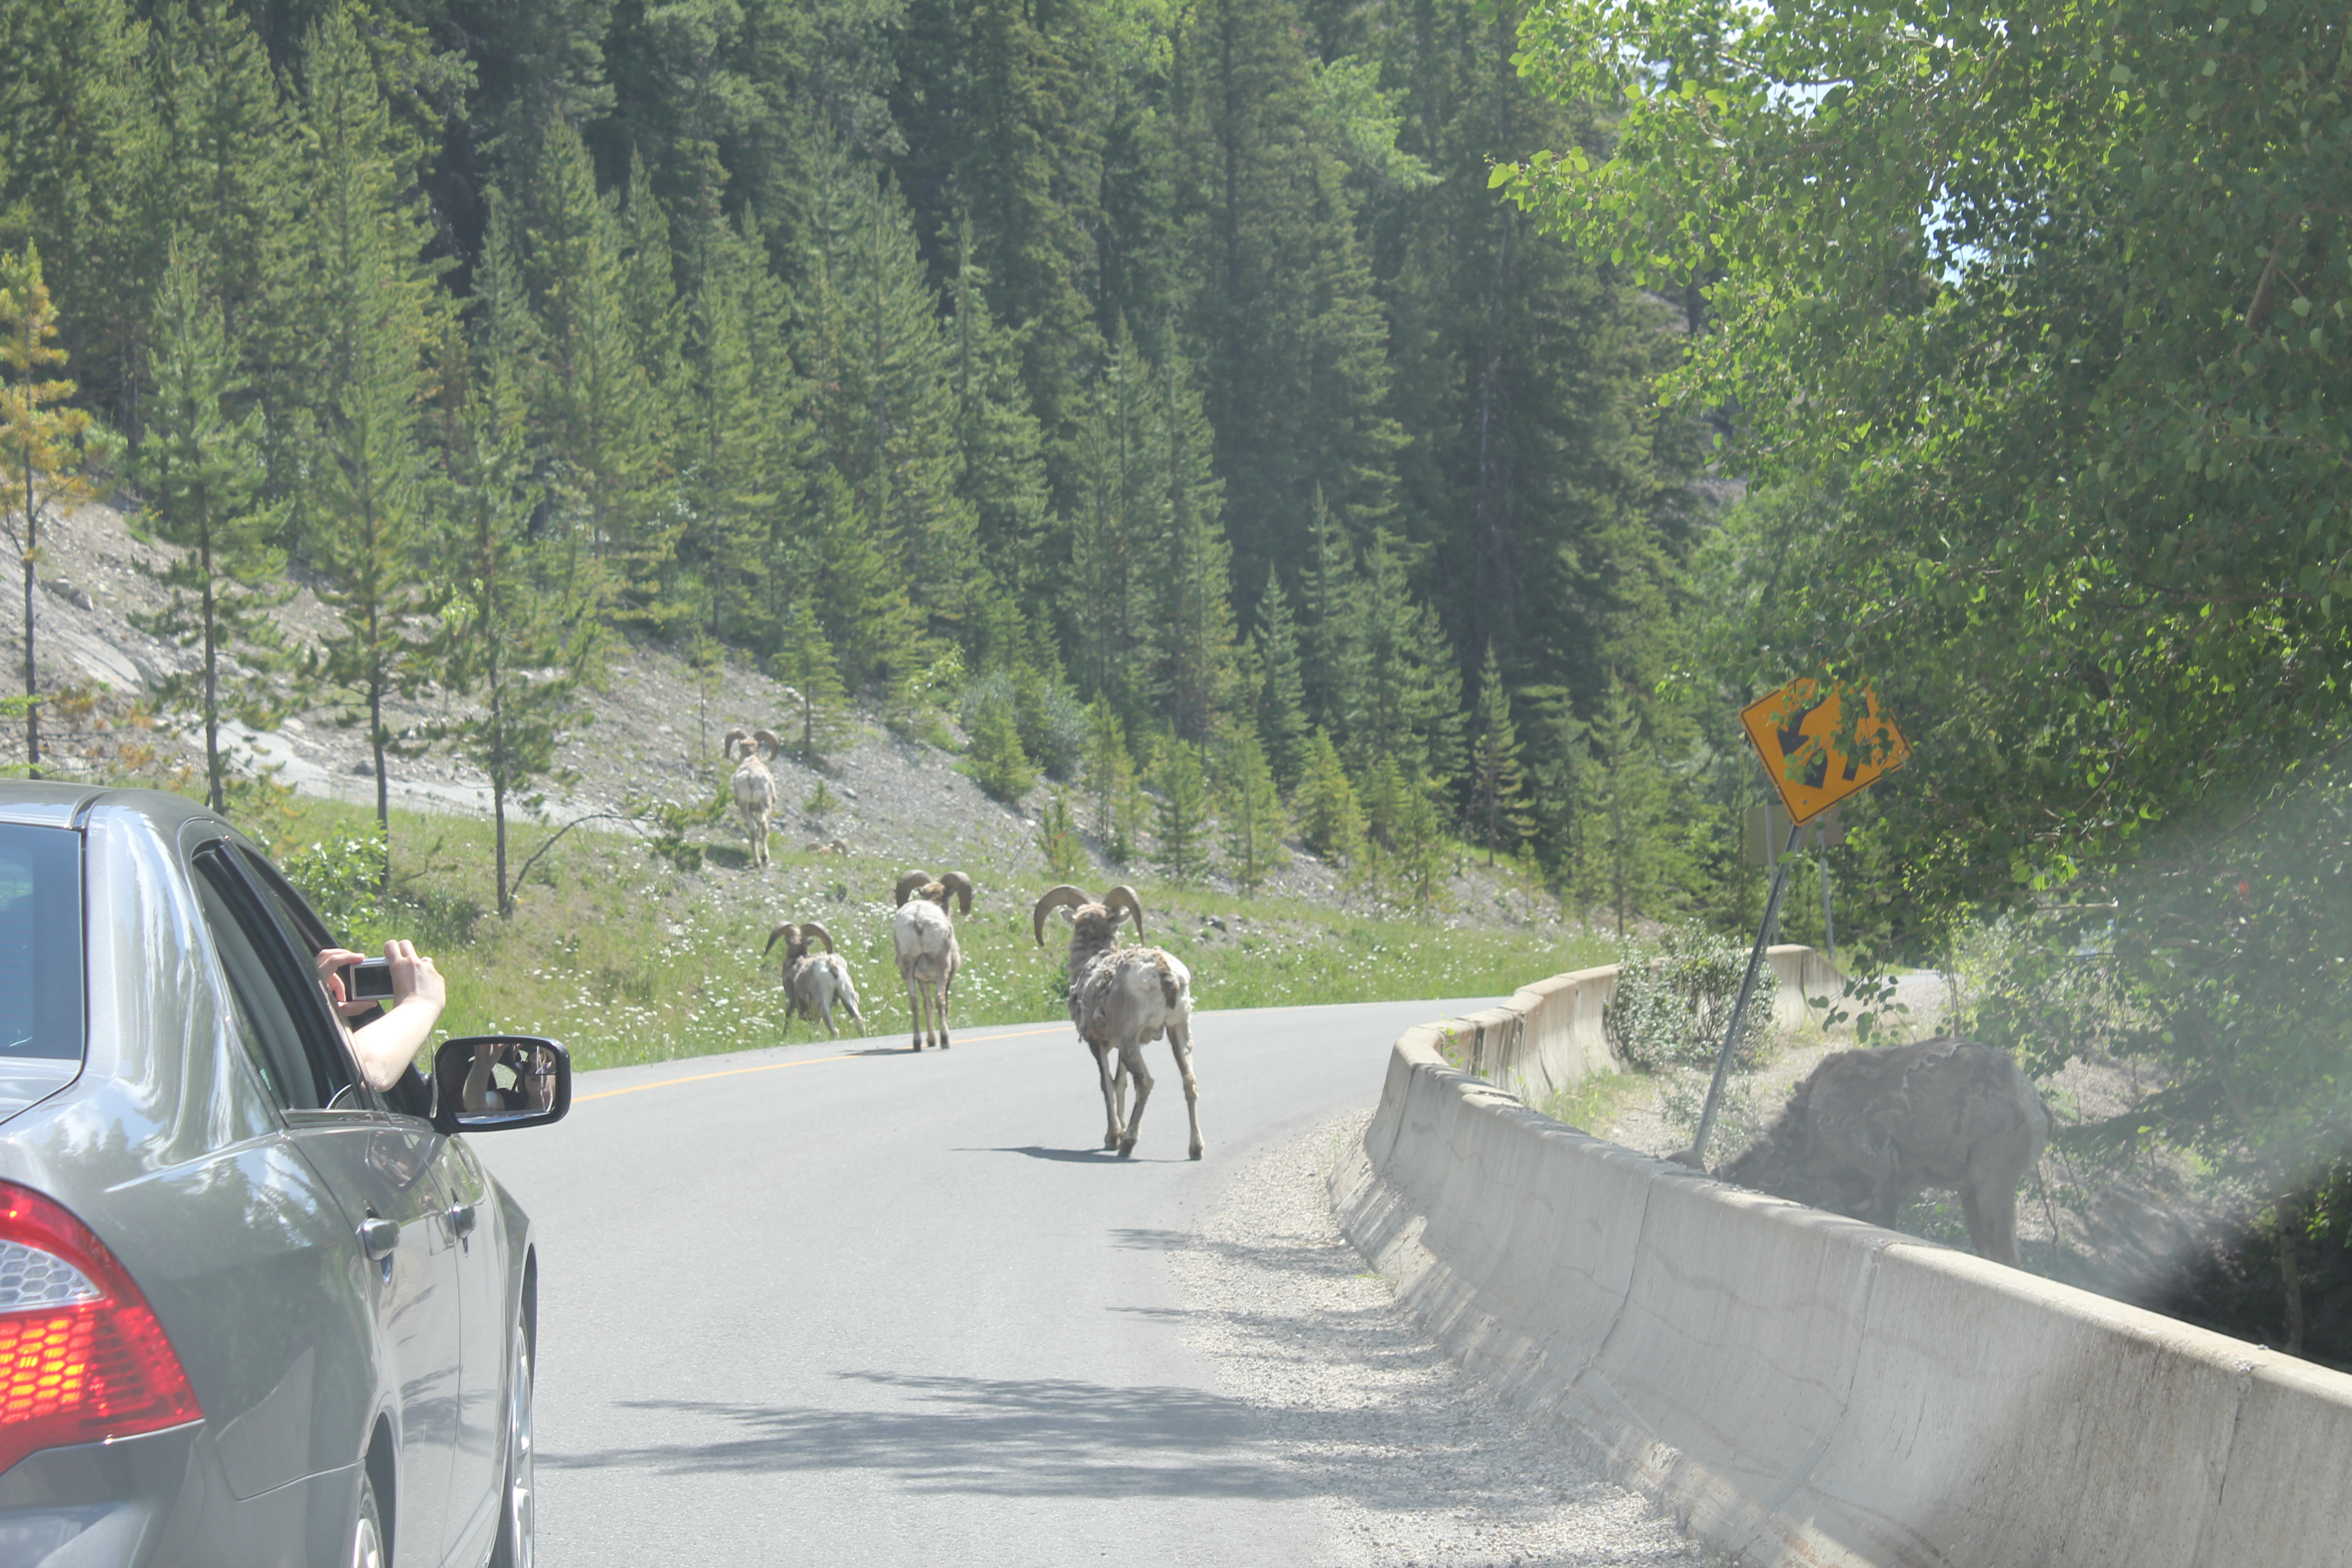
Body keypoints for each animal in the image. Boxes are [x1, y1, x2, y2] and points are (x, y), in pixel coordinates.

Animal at [720, 729, 785, 870]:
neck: (751, 760)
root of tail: (751, 776)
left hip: (746, 807)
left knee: (754, 829)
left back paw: (758, 861)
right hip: (765, 804)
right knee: (763, 826)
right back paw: (764, 858)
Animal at [762, 921, 865, 1044]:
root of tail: (830, 964)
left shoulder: (791, 1001)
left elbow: (788, 1022)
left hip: (823, 1003)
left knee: (834, 1030)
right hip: (848, 997)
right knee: (859, 1021)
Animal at [893, 870, 978, 1053]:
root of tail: (918, 918)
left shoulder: (922, 980)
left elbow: (928, 1005)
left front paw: (931, 1040)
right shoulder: (948, 976)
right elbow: (943, 1003)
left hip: (907, 967)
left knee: (914, 1001)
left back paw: (917, 1043)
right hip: (942, 965)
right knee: (940, 1000)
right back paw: (946, 1041)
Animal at [1034, 888, 1204, 1161]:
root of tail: (1164, 972)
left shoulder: (1098, 1043)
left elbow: (1107, 1085)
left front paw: (1112, 1137)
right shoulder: (1122, 1046)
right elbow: (1121, 1083)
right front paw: (1118, 1131)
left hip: (1130, 1039)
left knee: (1145, 1082)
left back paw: (1128, 1144)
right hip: (1178, 1031)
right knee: (1190, 1082)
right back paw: (1196, 1149)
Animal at [1712, 1034, 2060, 1269]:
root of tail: (2038, 1110)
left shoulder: (1883, 1178)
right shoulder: (1856, 1198)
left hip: (1993, 1182)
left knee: (2008, 1254)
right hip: (1970, 1191)